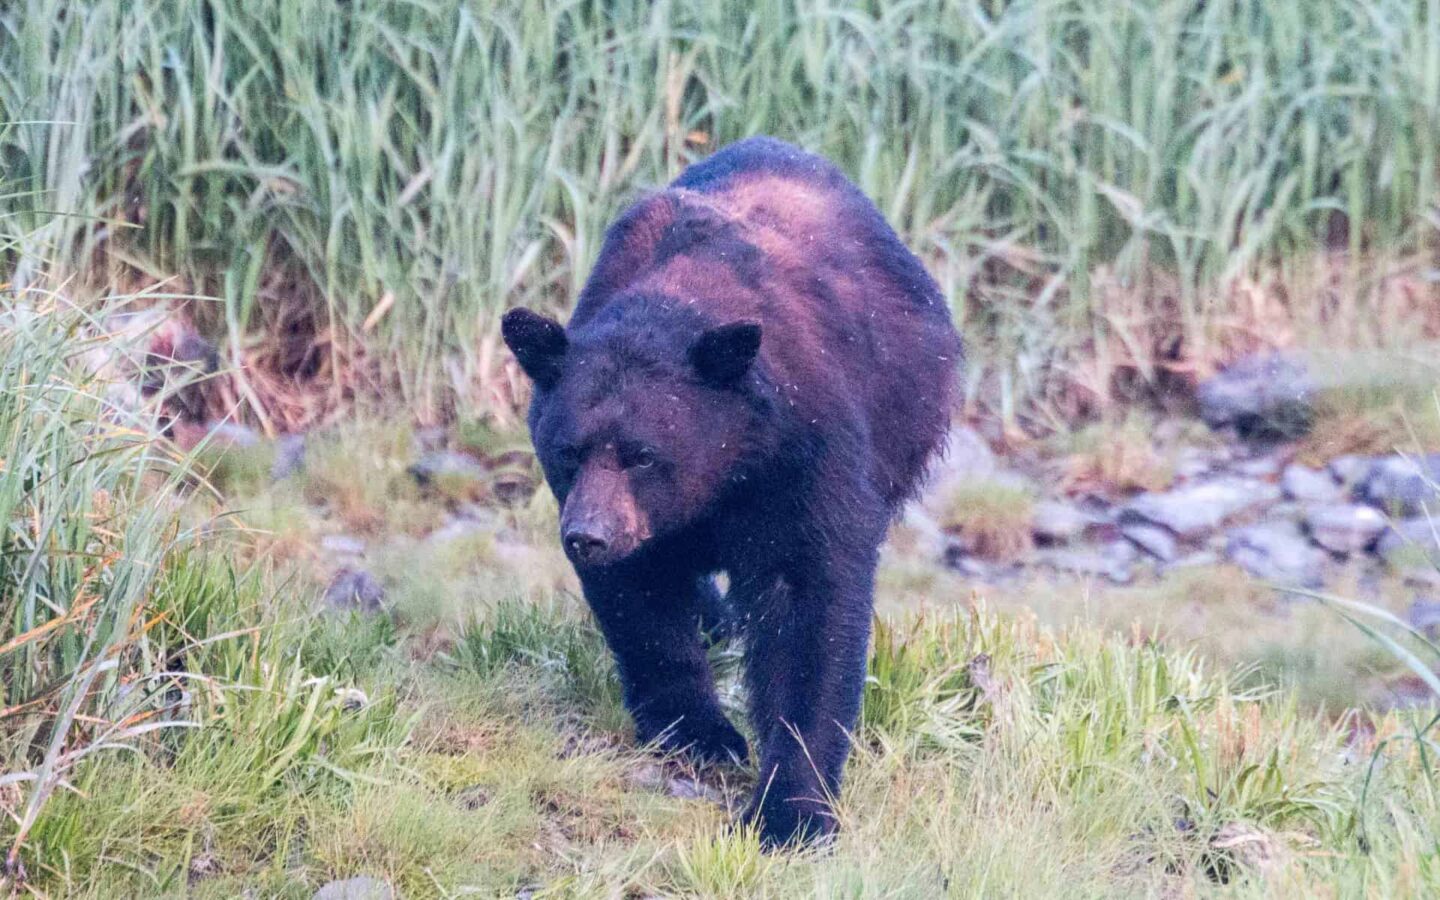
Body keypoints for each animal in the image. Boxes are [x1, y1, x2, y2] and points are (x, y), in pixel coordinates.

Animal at [502, 136, 961, 847]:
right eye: (569, 450)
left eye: (642, 454)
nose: (588, 536)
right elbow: (644, 607)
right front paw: (701, 733)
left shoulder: (805, 453)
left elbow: (809, 607)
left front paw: (790, 811)